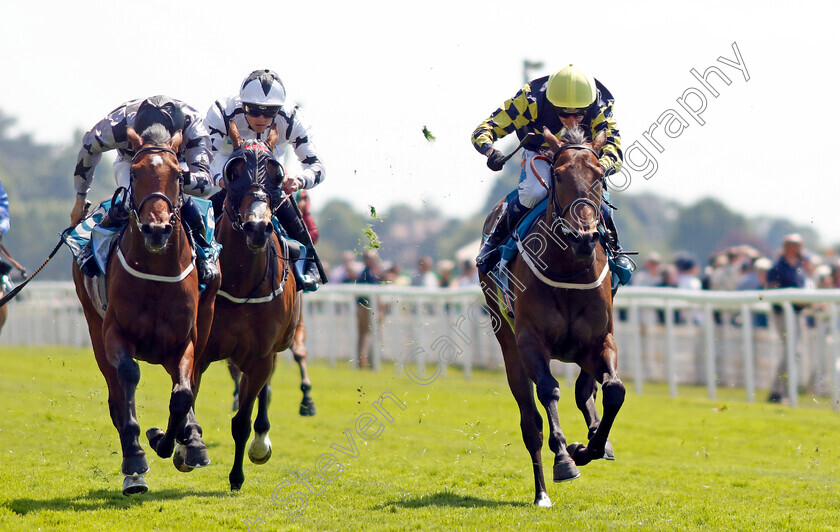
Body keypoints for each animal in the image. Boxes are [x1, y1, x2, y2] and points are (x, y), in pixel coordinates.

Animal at [73, 124, 220, 494]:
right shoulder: (115, 333)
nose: (156, 229)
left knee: (189, 384)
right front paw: (136, 457)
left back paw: (192, 440)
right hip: (93, 327)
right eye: (136, 173)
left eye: (179, 176)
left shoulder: (183, 341)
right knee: (115, 394)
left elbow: (182, 393)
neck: (156, 272)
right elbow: (127, 378)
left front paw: (170, 440)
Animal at [195, 121, 300, 490]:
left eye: (277, 173)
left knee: (262, 392)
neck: (241, 284)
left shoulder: (261, 355)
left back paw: (261, 440)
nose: (257, 226)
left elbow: (242, 419)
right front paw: (183, 448)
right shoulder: (201, 349)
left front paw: (238, 473)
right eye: (233, 171)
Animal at [480, 124, 624, 508]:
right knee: (530, 421)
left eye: (599, 175)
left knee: (586, 392)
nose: (584, 237)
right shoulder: (531, 341)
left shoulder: (600, 340)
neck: (569, 269)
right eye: (558, 175)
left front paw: (587, 447)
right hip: (507, 342)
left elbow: (614, 390)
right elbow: (548, 392)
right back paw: (541, 493)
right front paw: (564, 458)